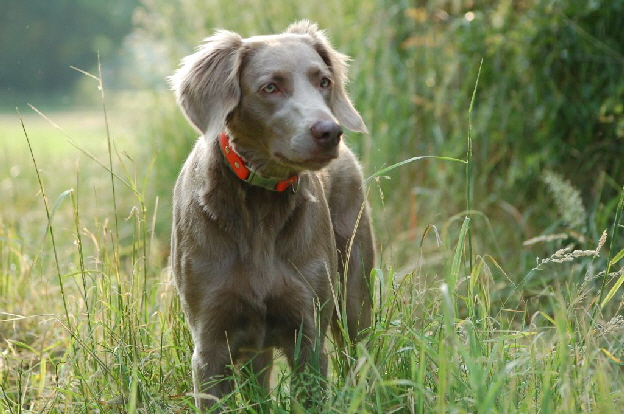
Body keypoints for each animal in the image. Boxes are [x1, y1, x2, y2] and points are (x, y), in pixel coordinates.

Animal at [169, 20, 376, 410]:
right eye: (270, 87)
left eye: (324, 81)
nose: (330, 132)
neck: (258, 210)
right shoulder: (210, 342)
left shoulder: (307, 333)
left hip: (353, 292)